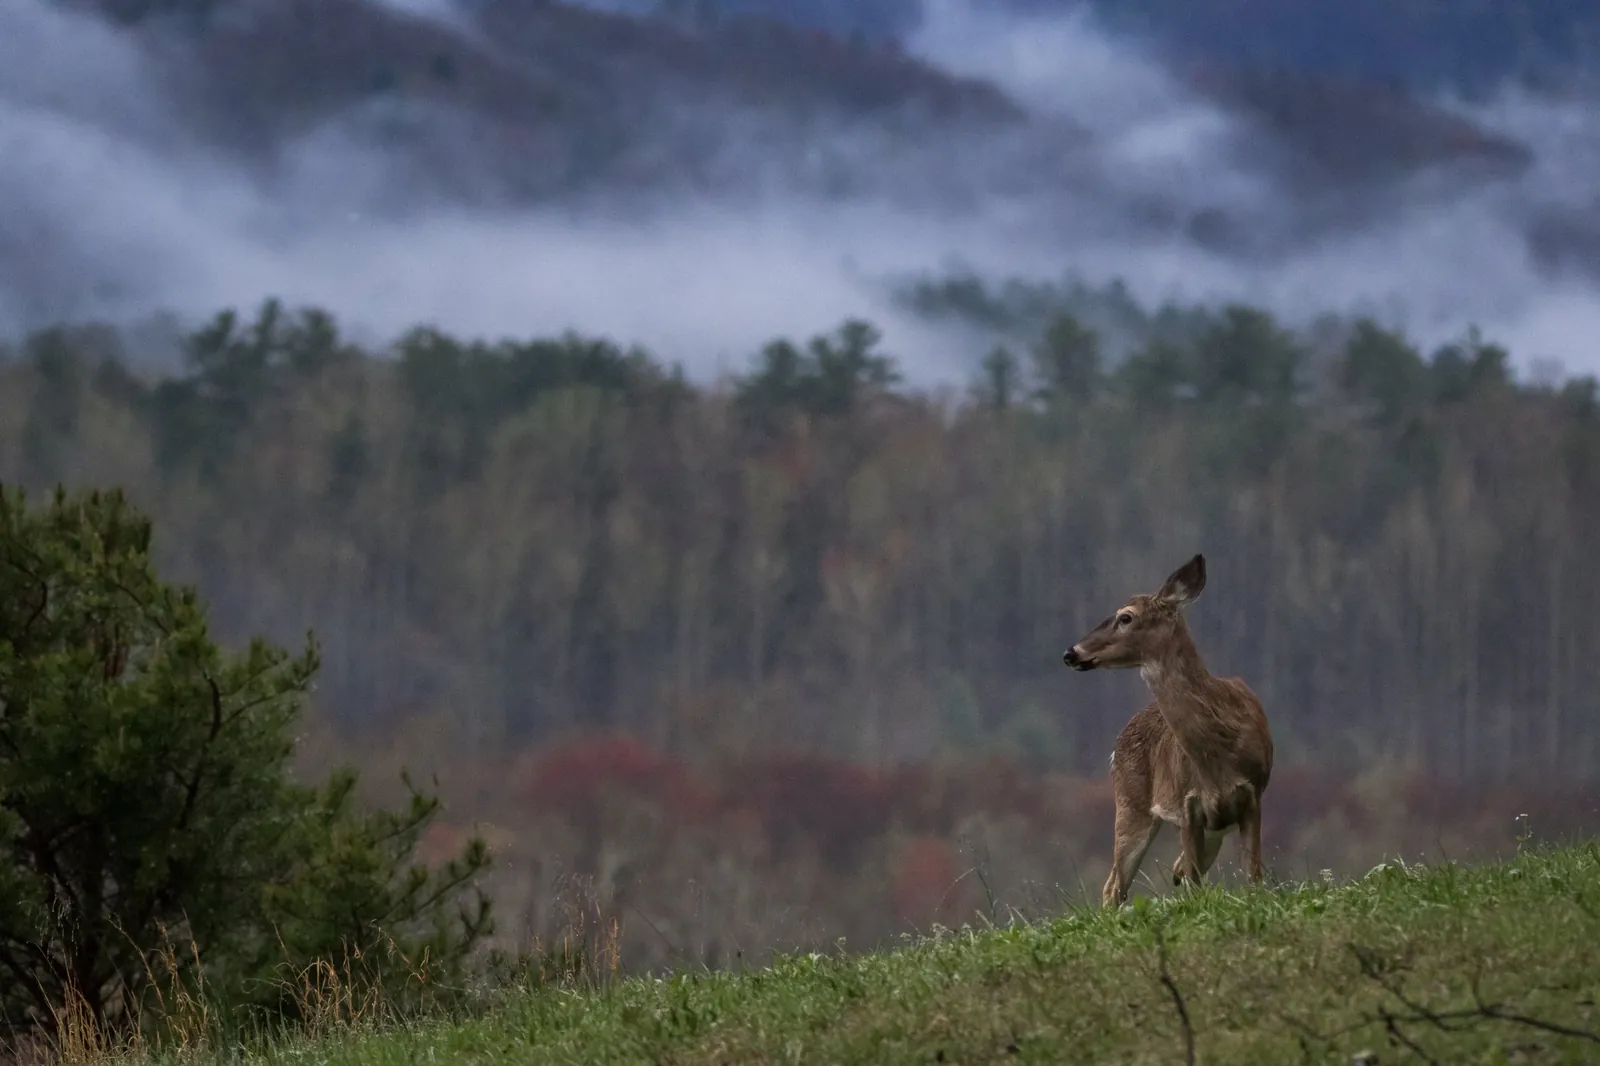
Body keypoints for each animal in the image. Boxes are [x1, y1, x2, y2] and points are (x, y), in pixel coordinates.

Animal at [1062, 554, 1273, 907]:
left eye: (1126, 617)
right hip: (1131, 803)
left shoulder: (1253, 793)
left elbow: (1253, 876)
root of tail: (1115, 748)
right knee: (1114, 885)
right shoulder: (1186, 803)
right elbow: (1195, 883)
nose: (1071, 653)